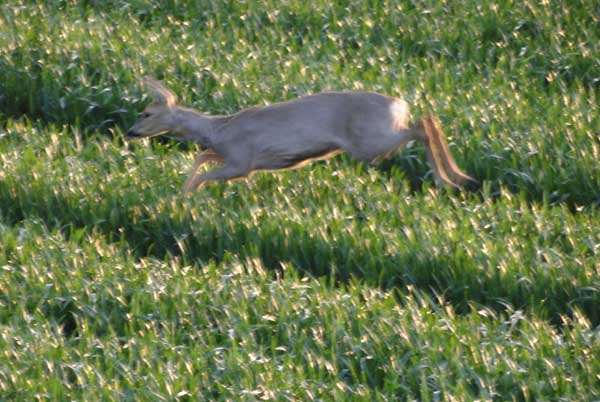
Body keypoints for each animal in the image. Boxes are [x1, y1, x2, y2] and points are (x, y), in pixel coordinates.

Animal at [127, 77, 474, 194]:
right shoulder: (233, 155)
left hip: (370, 142)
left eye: (146, 113)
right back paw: (458, 177)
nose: (130, 131)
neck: (219, 129)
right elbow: (202, 156)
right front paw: (181, 192)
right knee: (427, 119)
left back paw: (450, 179)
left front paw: (185, 198)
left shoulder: (241, 161)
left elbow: (205, 172)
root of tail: (399, 104)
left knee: (422, 126)